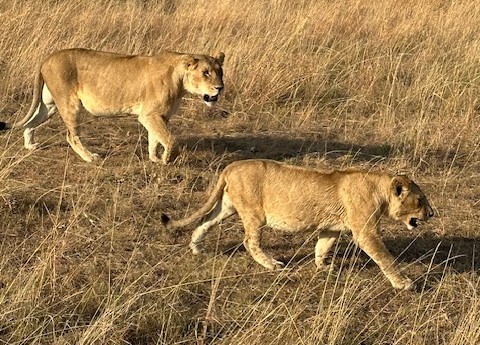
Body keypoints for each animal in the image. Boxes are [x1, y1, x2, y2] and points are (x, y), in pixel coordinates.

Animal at [0, 47, 225, 164]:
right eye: (205, 72)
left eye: (220, 72)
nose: (220, 88)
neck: (180, 81)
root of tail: (47, 58)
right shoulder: (149, 115)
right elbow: (170, 139)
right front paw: (166, 159)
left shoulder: (159, 116)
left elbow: (155, 138)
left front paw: (154, 157)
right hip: (69, 104)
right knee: (71, 136)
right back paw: (90, 157)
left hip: (49, 104)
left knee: (31, 122)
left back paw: (30, 145)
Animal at [162, 160, 436, 288]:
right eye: (420, 200)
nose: (432, 214)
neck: (380, 190)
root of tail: (230, 166)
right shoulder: (365, 231)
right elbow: (385, 258)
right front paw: (403, 283)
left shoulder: (331, 228)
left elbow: (322, 247)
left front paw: (323, 267)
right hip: (254, 212)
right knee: (249, 241)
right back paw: (272, 264)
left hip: (227, 206)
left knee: (205, 221)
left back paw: (196, 247)